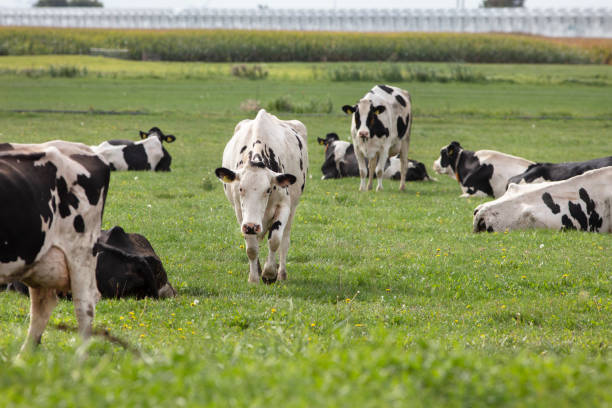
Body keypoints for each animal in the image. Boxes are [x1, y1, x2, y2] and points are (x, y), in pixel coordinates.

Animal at [216, 110, 310, 286]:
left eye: (267, 190)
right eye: (240, 188)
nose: (252, 226)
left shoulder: (284, 206)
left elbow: (275, 240)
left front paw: (269, 273)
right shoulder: (241, 214)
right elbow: (252, 248)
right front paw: (254, 277)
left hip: (292, 208)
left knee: (284, 241)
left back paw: (281, 273)